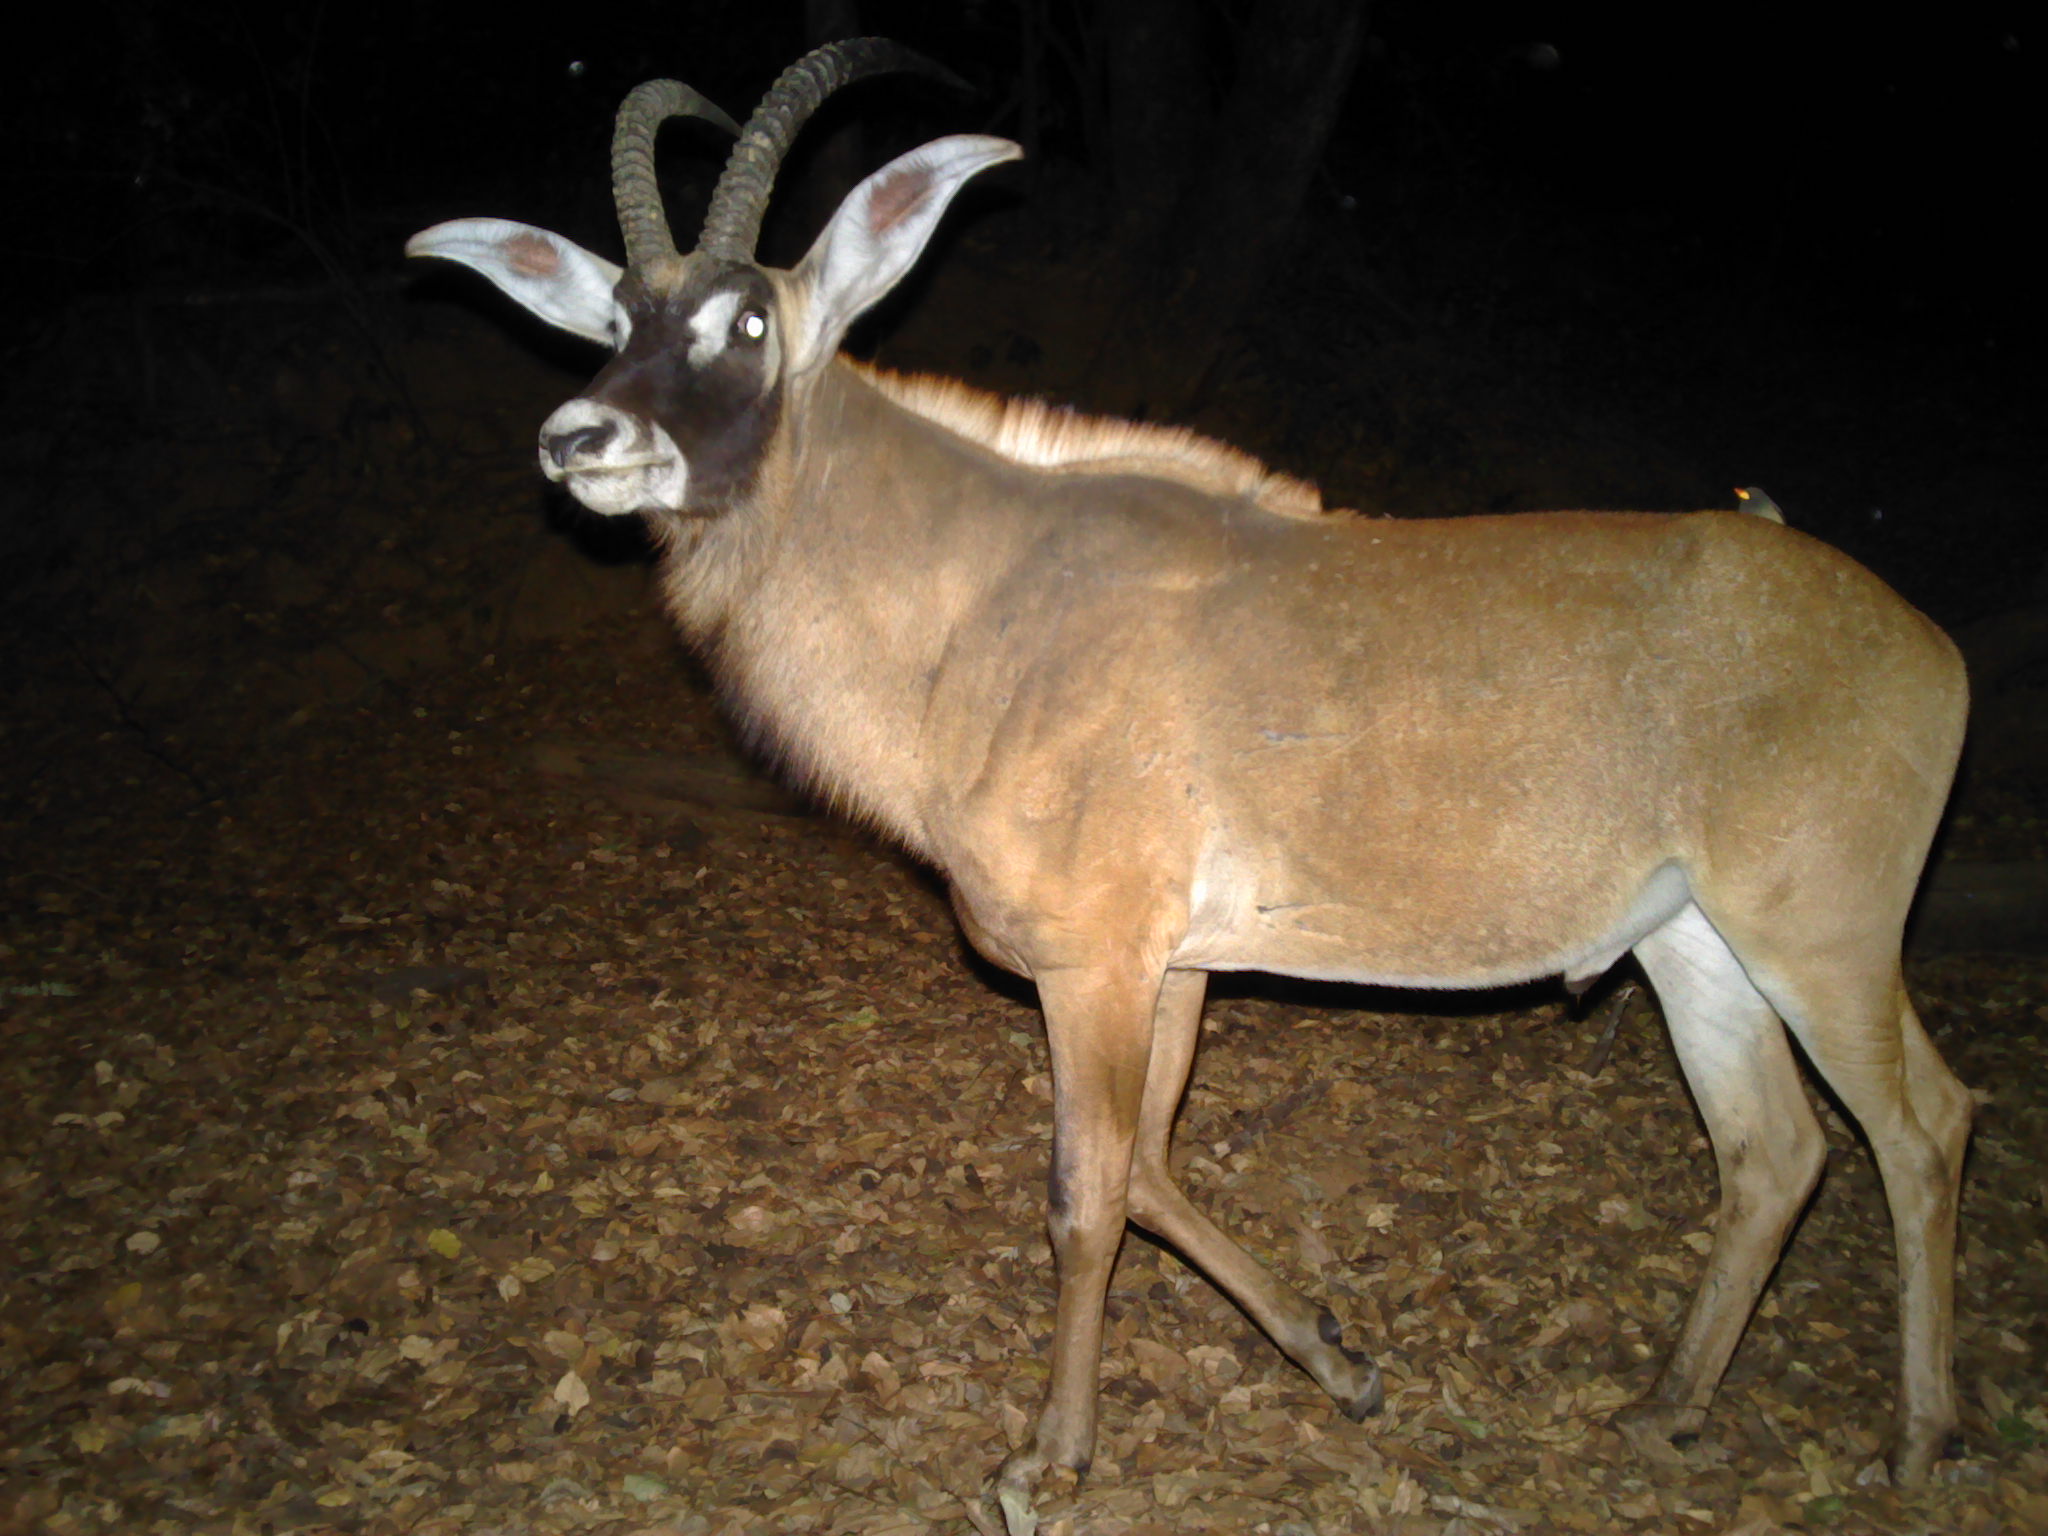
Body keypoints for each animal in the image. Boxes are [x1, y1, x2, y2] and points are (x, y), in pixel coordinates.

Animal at [403, 39, 1966, 1536]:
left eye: (745, 322)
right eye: (617, 321)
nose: (581, 441)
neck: (985, 597)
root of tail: (1928, 649)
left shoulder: (1092, 962)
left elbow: (1085, 1195)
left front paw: (1050, 1464)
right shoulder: (1176, 967)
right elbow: (1153, 1166)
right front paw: (1341, 1363)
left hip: (1820, 935)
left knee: (1920, 1125)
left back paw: (1920, 1440)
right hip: (1691, 945)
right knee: (1771, 1152)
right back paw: (1665, 1411)